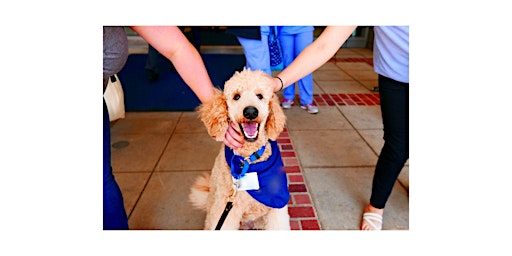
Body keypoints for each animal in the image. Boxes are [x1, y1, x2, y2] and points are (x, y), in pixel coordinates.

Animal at [189, 68, 292, 230]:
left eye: (260, 96)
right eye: (236, 96)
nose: (250, 112)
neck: (249, 159)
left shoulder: (277, 208)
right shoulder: (227, 209)